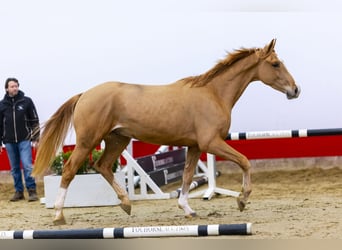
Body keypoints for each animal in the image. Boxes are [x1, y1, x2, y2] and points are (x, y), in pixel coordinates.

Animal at [32, 39, 300, 225]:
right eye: (275, 64)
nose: (295, 90)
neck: (214, 93)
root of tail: (84, 94)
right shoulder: (211, 143)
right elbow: (245, 161)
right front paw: (242, 200)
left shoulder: (195, 146)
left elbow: (187, 176)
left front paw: (188, 209)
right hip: (88, 141)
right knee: (70, 171)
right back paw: (59, 216)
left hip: (118, 140)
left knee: (103, 166)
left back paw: (126, 204)